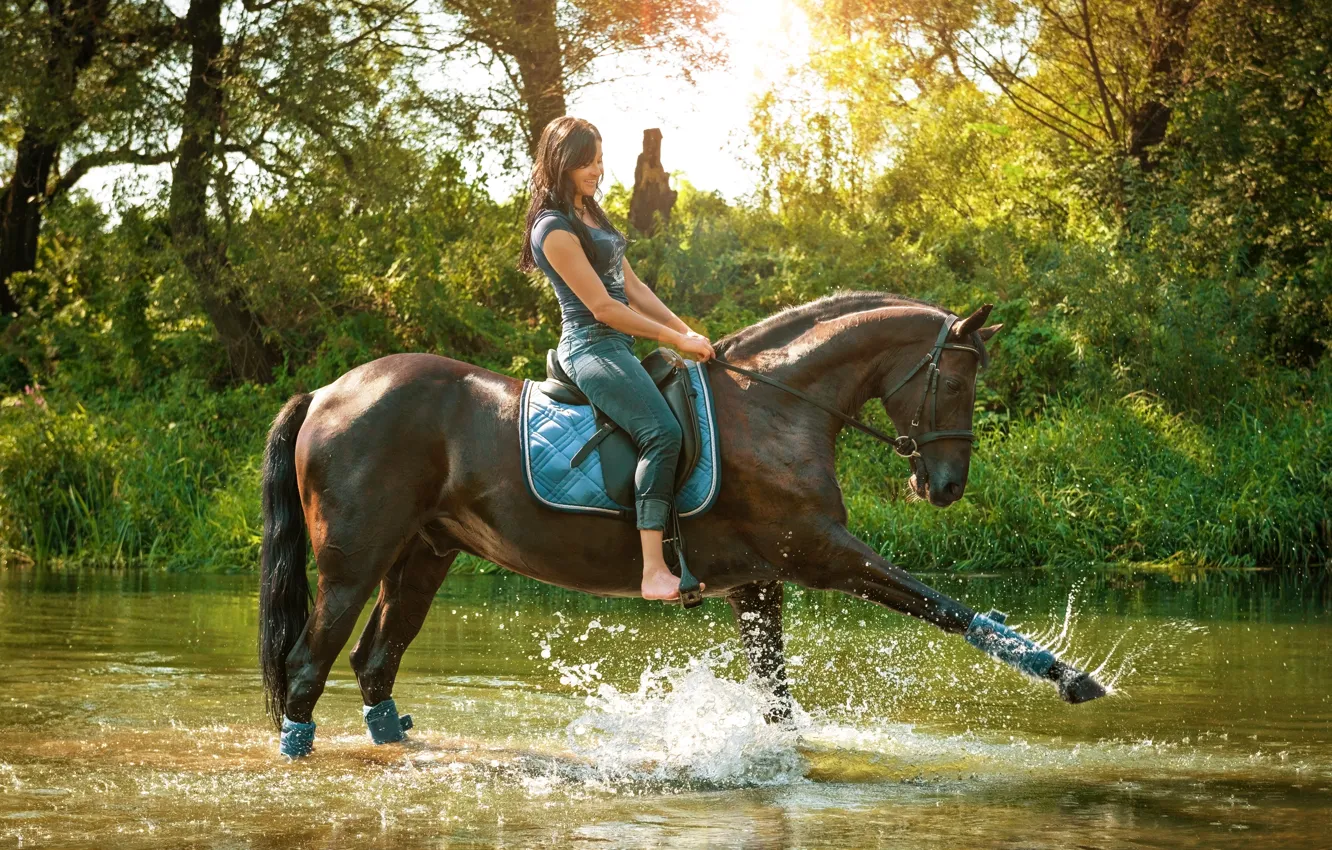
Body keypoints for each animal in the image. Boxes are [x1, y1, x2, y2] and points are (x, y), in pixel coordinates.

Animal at [258, 292, 1107, 757]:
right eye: (958, 380)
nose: (947, 487)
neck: (779, 406)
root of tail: (330, 391)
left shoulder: (760, 584)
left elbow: (776, 699)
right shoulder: (823, 554)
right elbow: (948, 608)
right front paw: (1072, 677)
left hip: (424, 557)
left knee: (374, 663)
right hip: (352, 563)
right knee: (306, 668)